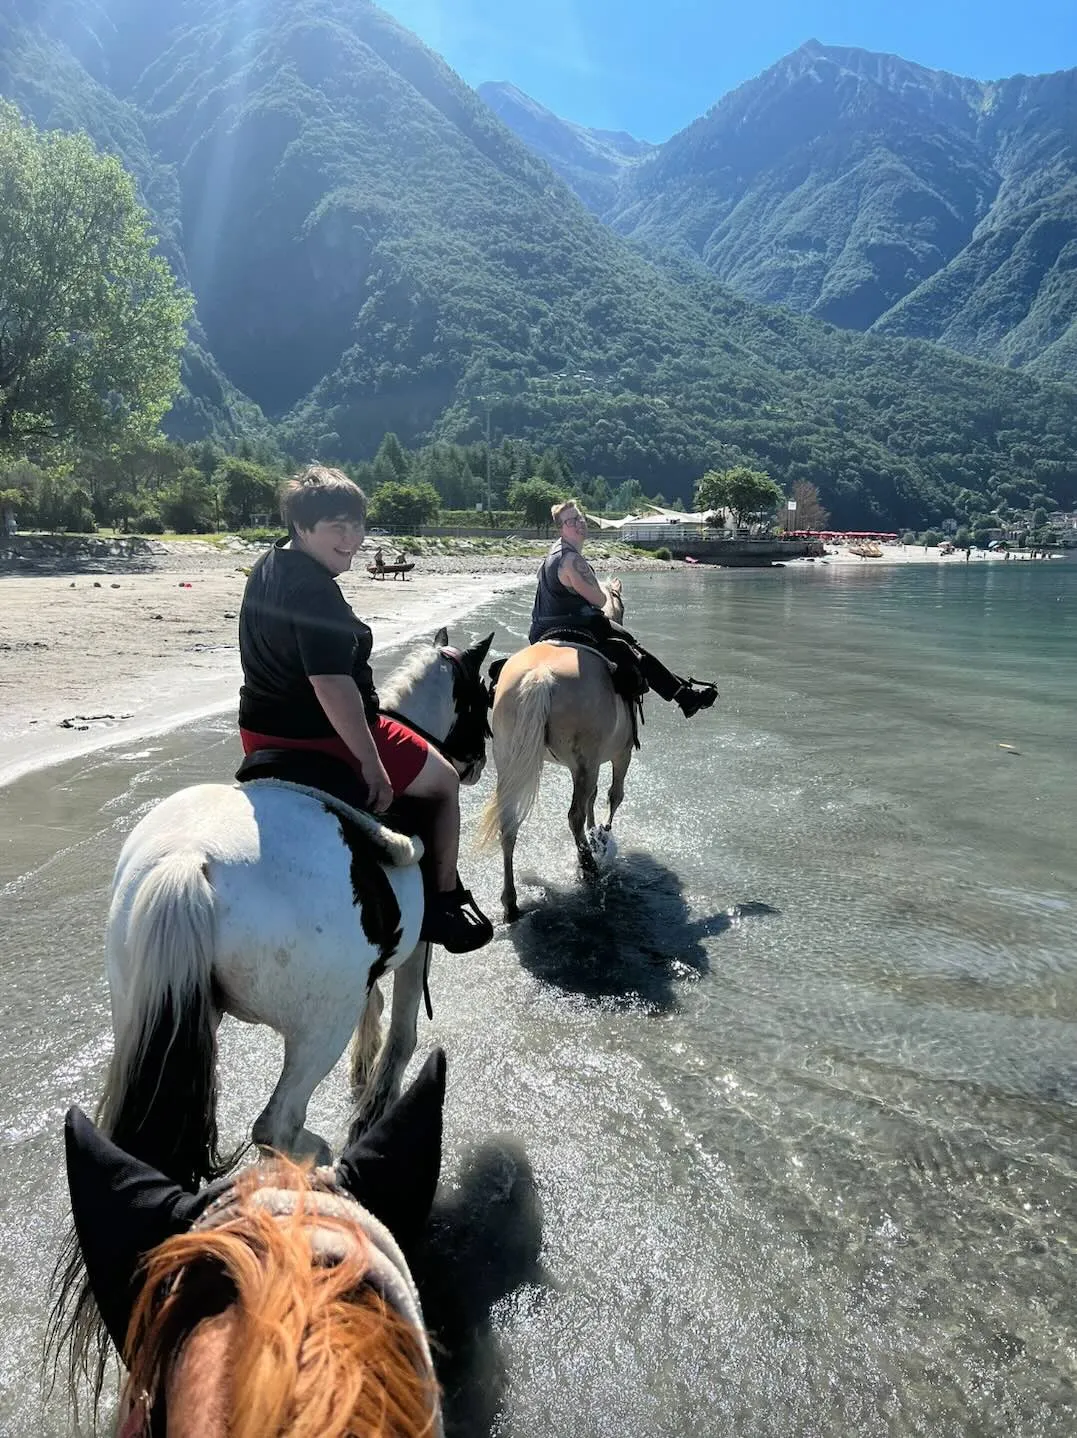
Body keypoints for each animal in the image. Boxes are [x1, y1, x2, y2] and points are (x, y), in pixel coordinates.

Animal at [478, 581, 633, 921]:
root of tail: (540, 677)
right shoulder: (619, 754)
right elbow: (613, 795)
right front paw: (602, 834)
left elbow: (594, 797)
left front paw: (595, 833)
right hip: (585, 761)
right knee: (573, 814)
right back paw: (588, 866)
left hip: (508, 762)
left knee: (508, 824)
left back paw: (510, 902)